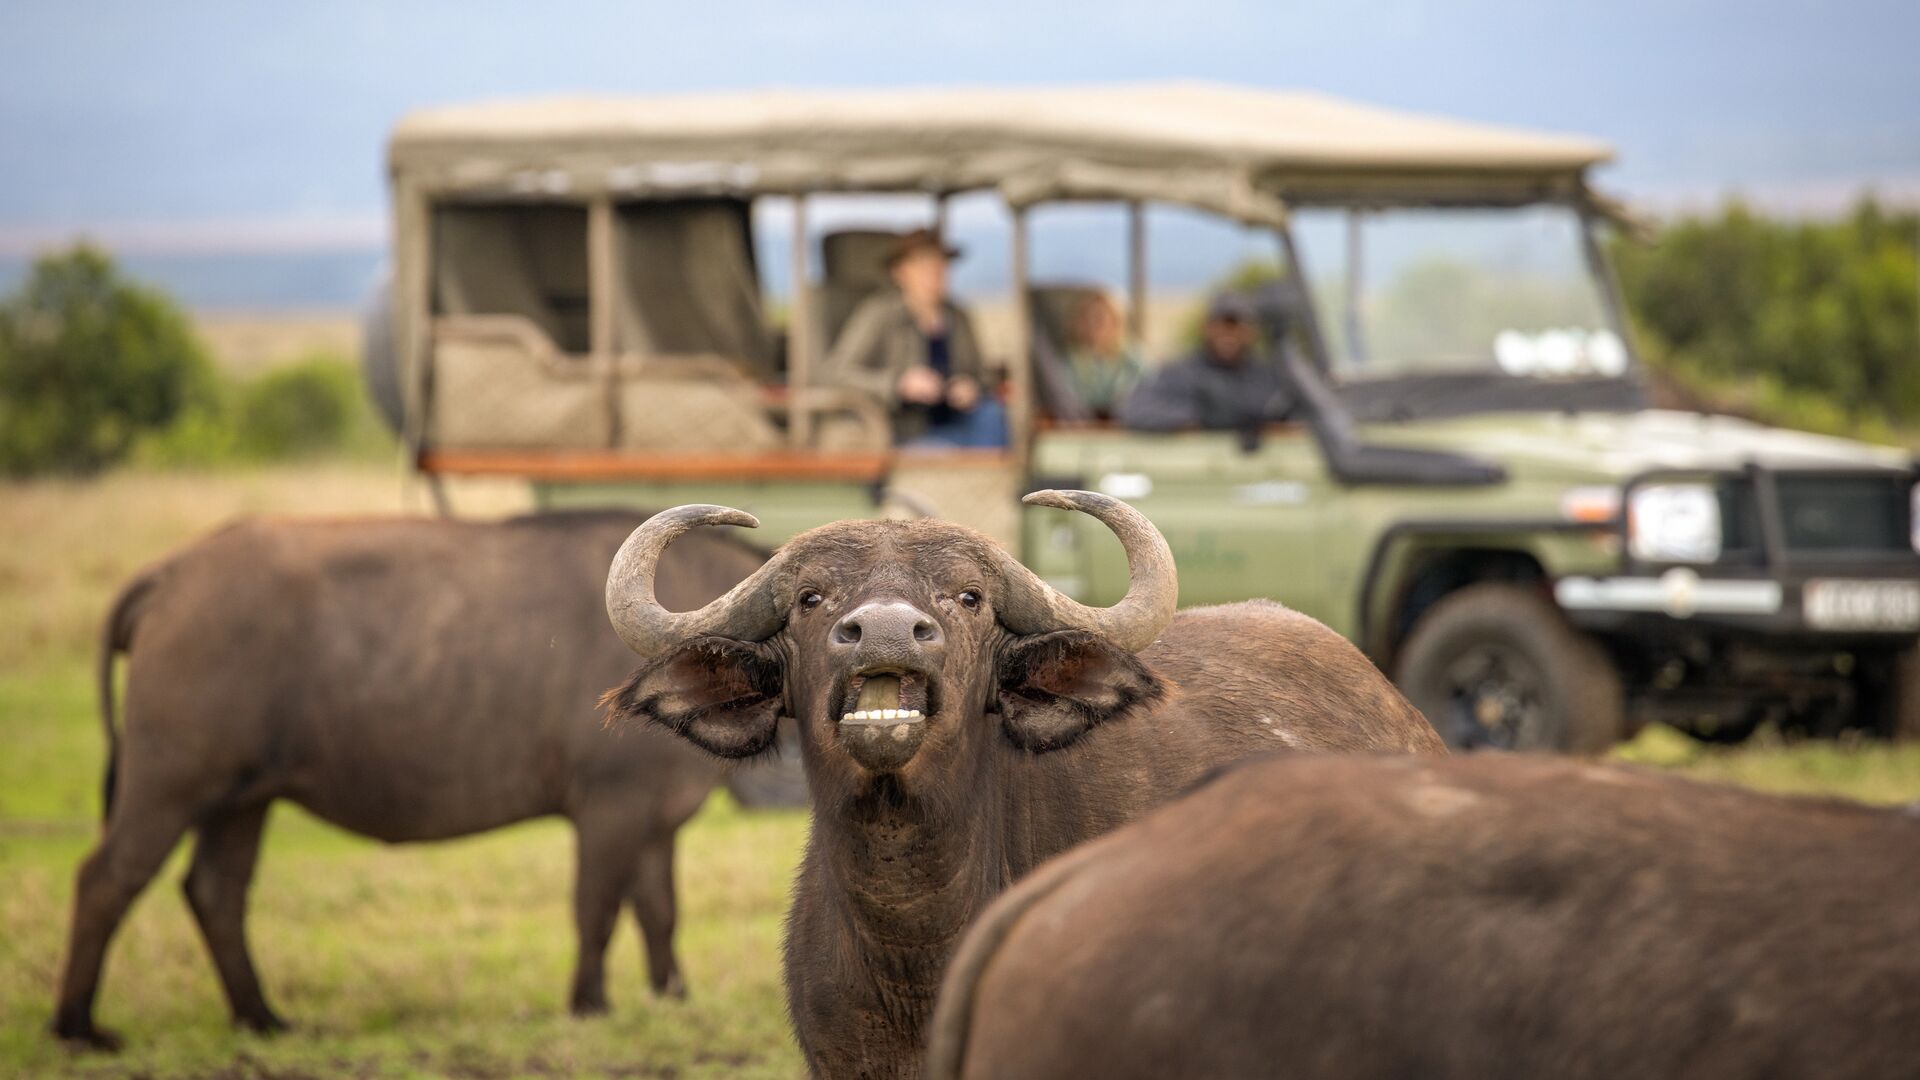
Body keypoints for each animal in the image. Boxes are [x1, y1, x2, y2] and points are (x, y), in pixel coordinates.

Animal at [53, 511, 765, 1050]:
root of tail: (172, 572)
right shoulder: (609, 807)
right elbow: (597, 909)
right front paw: (589, 1005)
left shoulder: (655, 819)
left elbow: (659, 913)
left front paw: (673, 999)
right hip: (169, 783)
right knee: (107, 878)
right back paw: (77, 1028)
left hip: (241, 798)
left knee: (215, 891)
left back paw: (262, 1019)